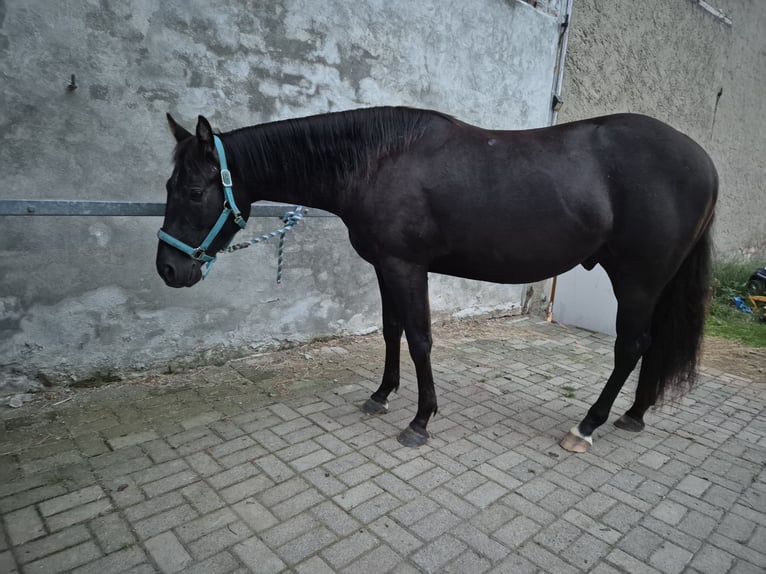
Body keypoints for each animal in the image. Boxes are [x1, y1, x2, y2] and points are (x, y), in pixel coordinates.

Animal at [156, 107, 717, 452]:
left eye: (194, 190)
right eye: (169, 185)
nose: (169, 269)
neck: (378, 160)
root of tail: (705, 164)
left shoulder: (407, 266)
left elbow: (420, 338)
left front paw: (420, 421)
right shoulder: (385, 265)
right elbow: (393, 332)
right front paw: (381, 396)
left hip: (637, 280)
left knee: (631, 346)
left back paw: (585, 427)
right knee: (651, 345)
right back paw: (635, 414)